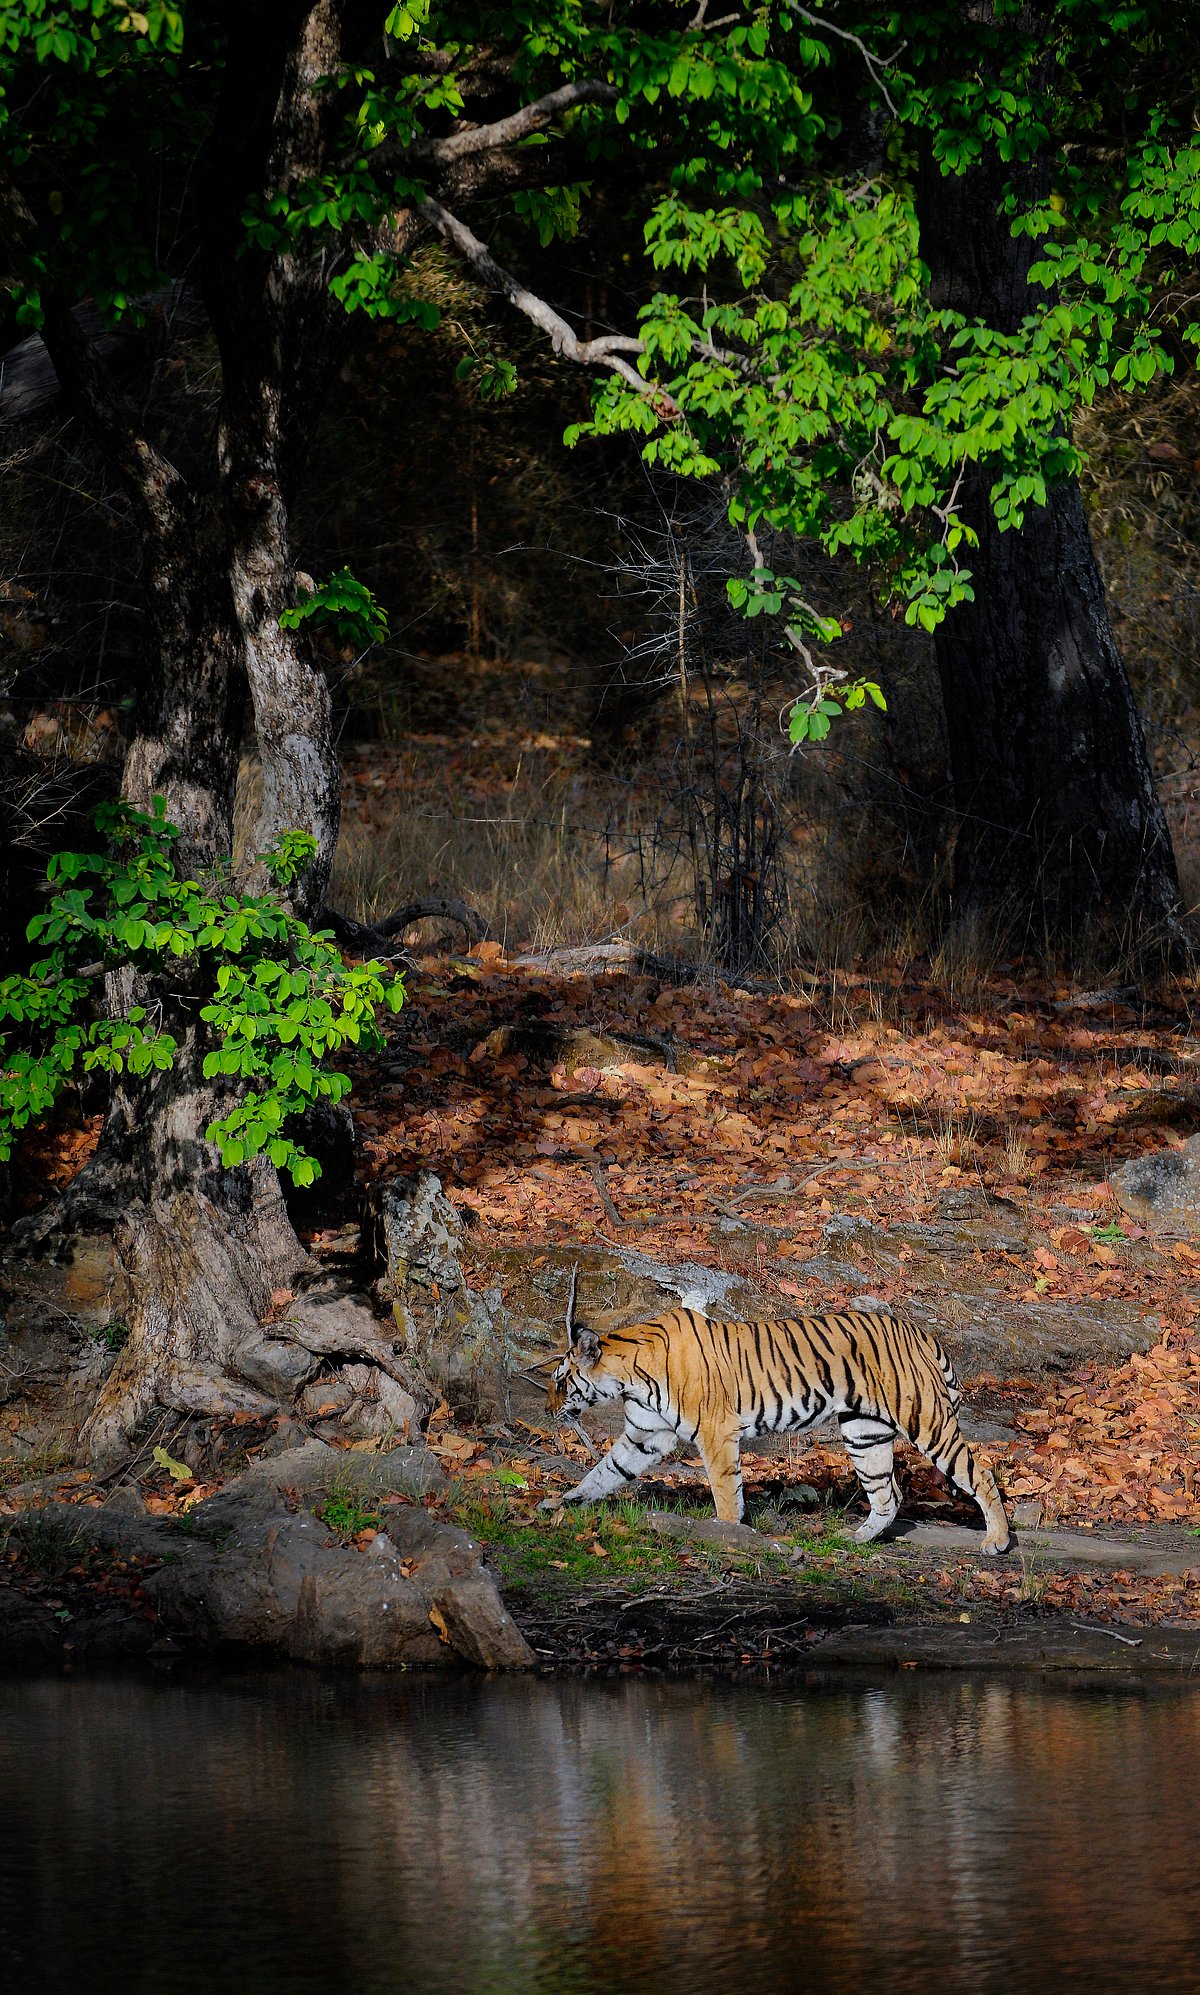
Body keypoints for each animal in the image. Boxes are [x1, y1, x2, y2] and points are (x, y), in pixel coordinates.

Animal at [545, 1305, 1011, 1555]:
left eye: (561, 1381)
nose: (549, 1412)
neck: (629, 1377)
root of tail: (918, 1331)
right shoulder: (645, 1436)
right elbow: (604, 1472)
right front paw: (563, 1502)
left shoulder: (716, 1433)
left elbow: (725, 1491)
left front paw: (726, 1533)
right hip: (865, 1432)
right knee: (887, 1494)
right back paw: (856, 1539)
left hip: (925, 1421)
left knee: (982, 1475)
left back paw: (997, 1541)